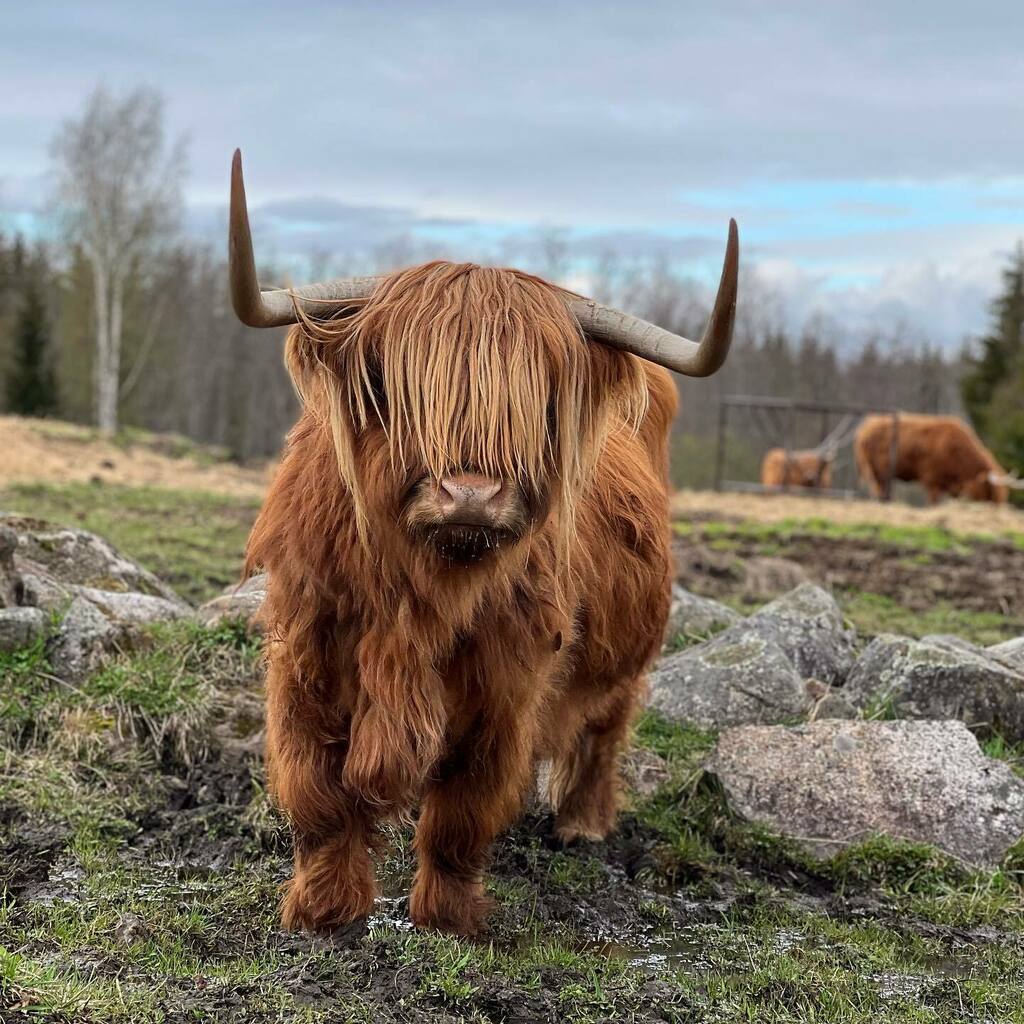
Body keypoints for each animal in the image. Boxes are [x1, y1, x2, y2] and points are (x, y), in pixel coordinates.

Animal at [228, 152, 739, 937]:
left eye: (538, 403)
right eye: (391, 385)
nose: (470, 494)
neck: (419, 598)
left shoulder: (506, 683)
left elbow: (463, 809)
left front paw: (448, 916)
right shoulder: (307, 651)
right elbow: (317, 791)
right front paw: (324, 910)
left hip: (625, 651)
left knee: (606, 726)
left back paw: (582, 823)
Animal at [855, 413, 1020, 504]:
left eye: (1003, 496)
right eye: (991, 493)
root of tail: (867, 425)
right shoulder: (932, 480)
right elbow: (933, 503)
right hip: (878, 472)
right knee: (880, 492)